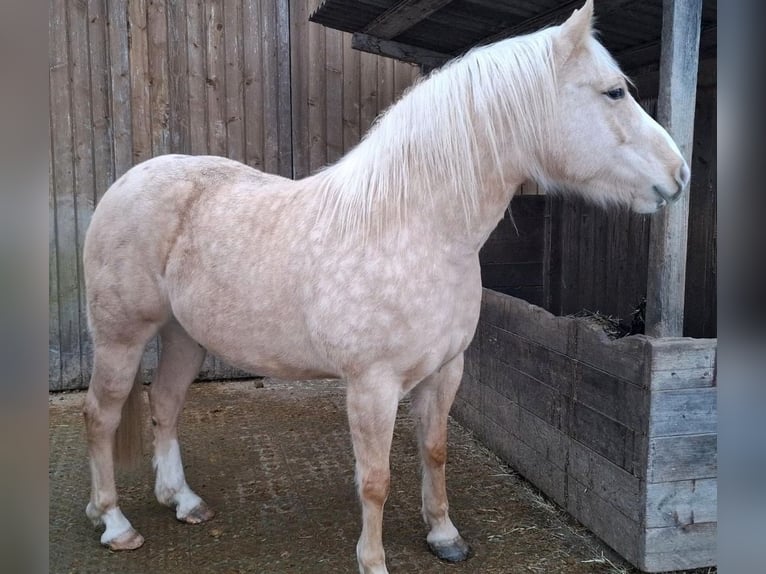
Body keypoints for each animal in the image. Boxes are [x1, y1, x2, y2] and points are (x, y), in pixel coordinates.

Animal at [81, 1, 689, 572]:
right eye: (614, 92)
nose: (679, 174)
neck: (415, 226)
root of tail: (126, 182)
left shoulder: (446, 371)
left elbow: (435, 452)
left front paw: (444, 536)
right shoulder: (371, 386)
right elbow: (374, 479)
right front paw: (372, 561)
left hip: (184, 335)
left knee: (165, 402)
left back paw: (182, 500)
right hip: (120, 338)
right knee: (101, 415)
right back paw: (114, 522)